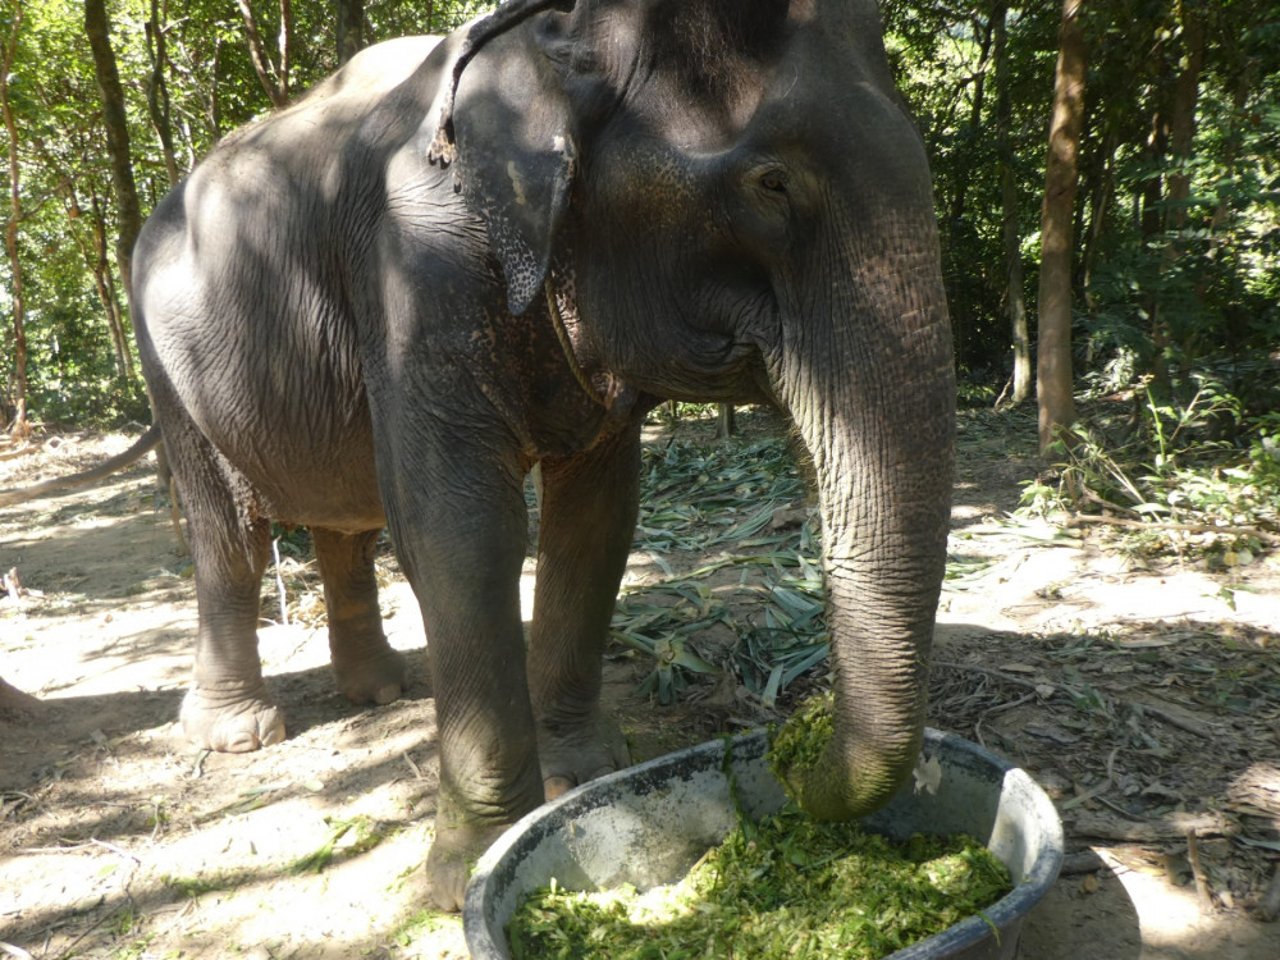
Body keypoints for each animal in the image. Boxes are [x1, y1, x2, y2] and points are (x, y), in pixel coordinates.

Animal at [132, 0, 952, 916]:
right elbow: (460, 530)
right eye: (772, 183)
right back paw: (239, 732)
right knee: (231, 538)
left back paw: (381, 691)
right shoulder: (416, 272)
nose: (790, 754)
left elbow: (597, 522)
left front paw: (583, 779)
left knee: (347, 522)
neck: (554, 39)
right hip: (169, 373)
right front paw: (471, 875)